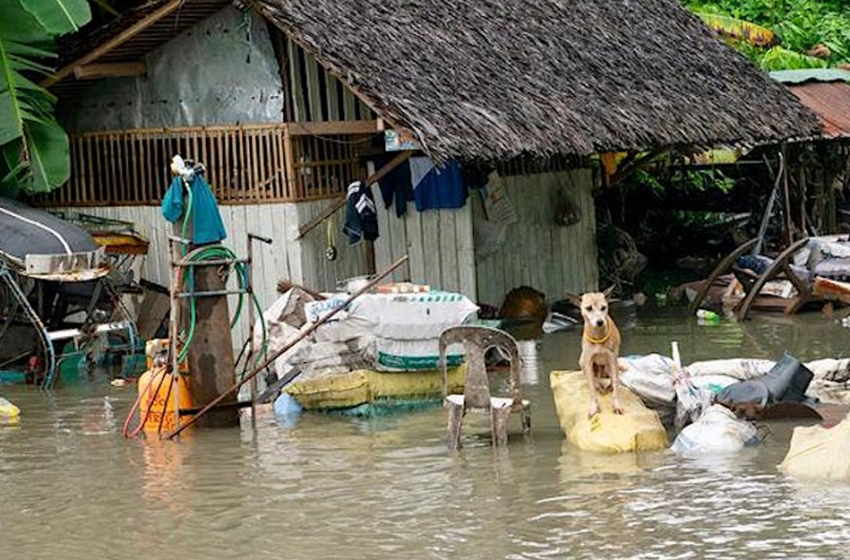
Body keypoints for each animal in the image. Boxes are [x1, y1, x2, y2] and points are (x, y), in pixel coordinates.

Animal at [564, 288, 624, 416]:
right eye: (588, 308)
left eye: (603, 307)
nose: (600, 322)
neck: (598, 337)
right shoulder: (588, 361)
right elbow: (591, 388)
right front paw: (594, 407)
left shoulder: (612, 359)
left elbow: (616, 384)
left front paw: (617, 405)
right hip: (582, 361)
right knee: (592, 379)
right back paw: (598, 385)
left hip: (608, 365)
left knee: (613, 378)